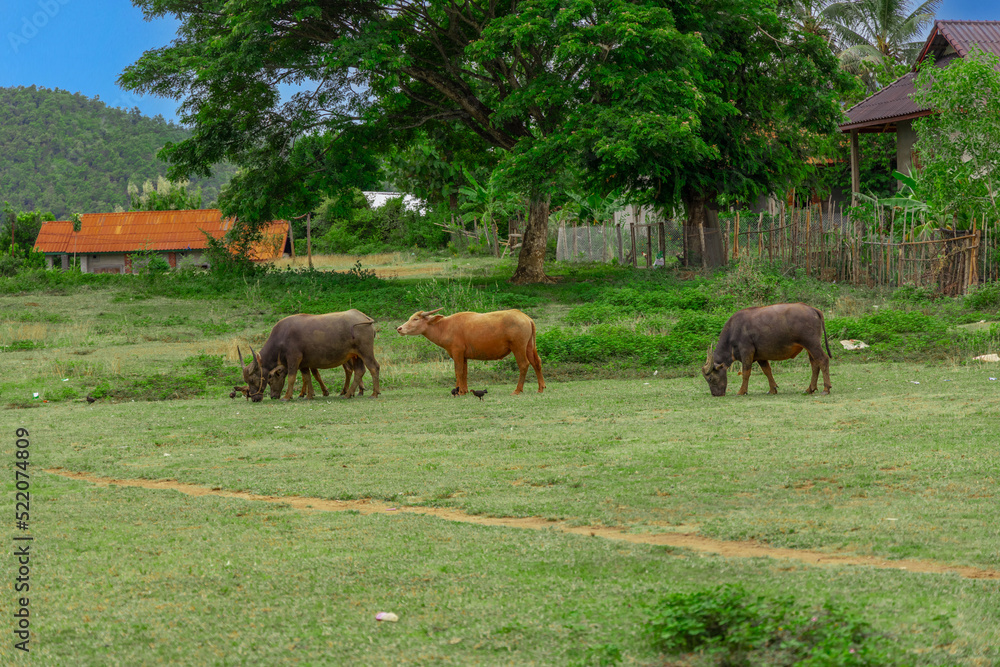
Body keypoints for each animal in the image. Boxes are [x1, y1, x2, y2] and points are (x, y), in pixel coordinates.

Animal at [240, 310, 380, 402]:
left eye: (252, 380)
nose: (254, 398)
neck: (281, 338)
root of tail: (365, 317)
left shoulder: (294, 358)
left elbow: (292, 378)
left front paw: (287, 397)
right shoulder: (303, 363)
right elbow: (307, 377)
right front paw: (309, 395)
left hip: (365, 352)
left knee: (374, 367)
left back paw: (374, 393)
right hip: (356, 356)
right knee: (359, 371)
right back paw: (348, 394)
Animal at [396, 310, 548, 396]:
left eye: (415, 319)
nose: (399, 328)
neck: (444, 327)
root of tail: (526, 317)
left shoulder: (457, 353)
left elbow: (458, 372)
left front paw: (459, 391)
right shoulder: (463, 356)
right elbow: (464, 372)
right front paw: (464, 390)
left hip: (518, 347)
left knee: (524, 365)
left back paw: (517, 390)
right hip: (529, 346)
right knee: (536, 362)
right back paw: (541, 388)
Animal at [700, 302, 832, 396]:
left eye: (710, 378)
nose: (715, 394)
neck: (734, 331)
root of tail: (812, 309)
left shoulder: (746, 352)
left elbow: (746, 372)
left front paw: (741, 391)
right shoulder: (760, 356)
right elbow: (767, 371)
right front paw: (772, 389)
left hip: (812, 344)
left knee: (823, 360)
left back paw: (826, 388)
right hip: (809, 347)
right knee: (814, 364)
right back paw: (810, 389)